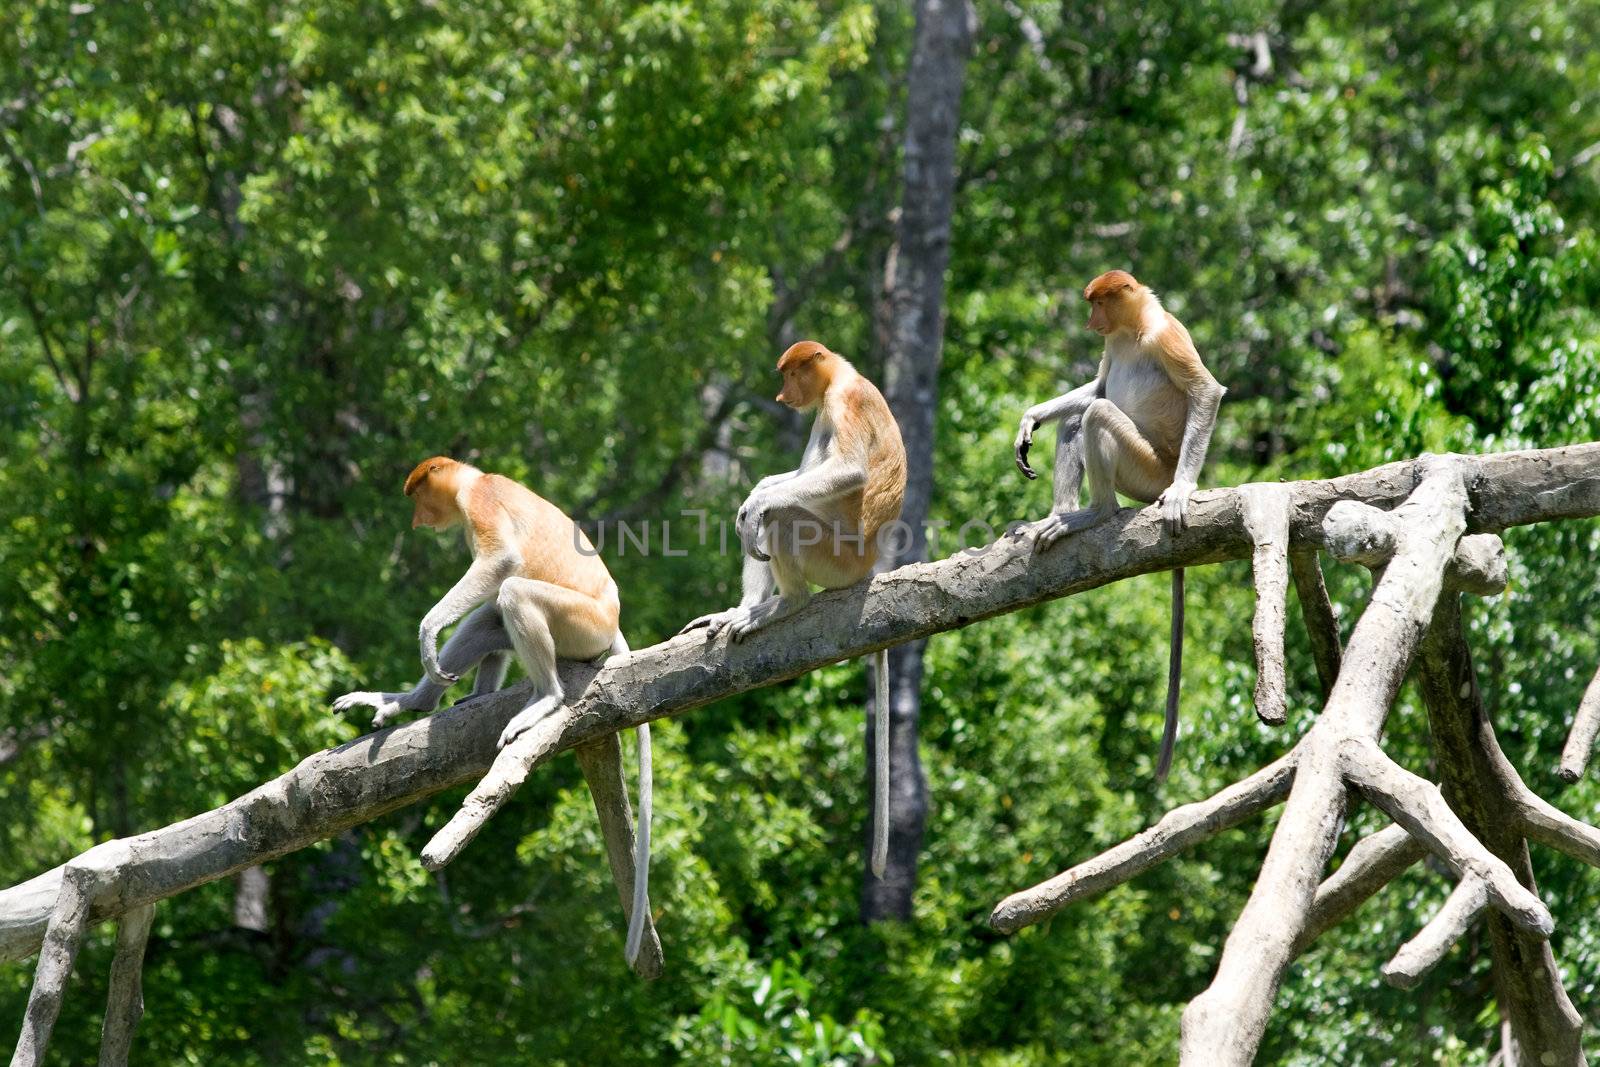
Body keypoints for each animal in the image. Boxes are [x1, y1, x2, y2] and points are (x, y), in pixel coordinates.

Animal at [334, 457, 652, 966]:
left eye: (419, 497)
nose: (418, 522)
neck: (474, 479)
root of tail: (613, 625)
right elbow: (489, 598)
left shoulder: (481, 503)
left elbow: (500, 562)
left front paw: (427, 633)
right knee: (489, 615)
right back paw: (410, 702)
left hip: (579, 625)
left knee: (514, 593)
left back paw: (544, 699)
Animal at [681, 342, 908, 876]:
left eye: (789, 374)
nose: (782, 395)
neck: (840, 377)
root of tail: (870, 565)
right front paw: (756, 489)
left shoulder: (842, 404)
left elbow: (846, 471)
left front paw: (755, 501)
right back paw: (741, 609)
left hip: (835, 558)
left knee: (782, 516)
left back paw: (783, 604)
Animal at [1011, 271, 1222, 780]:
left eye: (1099, 303)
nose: (1091, 323)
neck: (1132, 332)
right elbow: (1100, 384)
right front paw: (1031, 418)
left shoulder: (1168, 336)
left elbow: (1205, 392)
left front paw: (1183, 492)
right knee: (1077, 418)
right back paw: (1056, 517)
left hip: (1147, 470)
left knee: (1099, 415)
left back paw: (1097, 513)